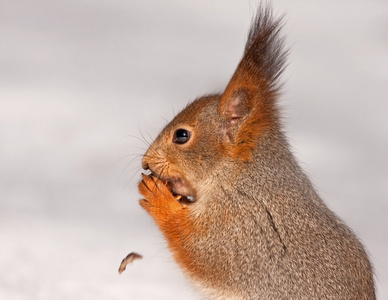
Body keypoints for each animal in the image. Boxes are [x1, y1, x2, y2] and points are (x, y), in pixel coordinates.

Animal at [137, 5, 376, 300]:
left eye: (181, 135)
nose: (146, 162)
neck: (239, 176)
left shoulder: (242, 225)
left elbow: (199, 247)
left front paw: (158, 197)